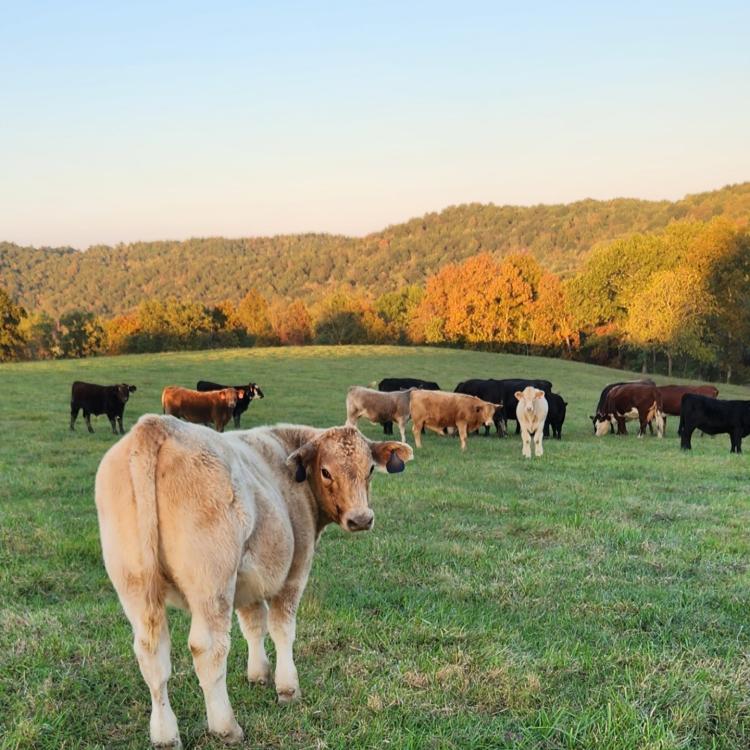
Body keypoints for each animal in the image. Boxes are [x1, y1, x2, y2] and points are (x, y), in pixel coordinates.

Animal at [94, 414, 414, 748]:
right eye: (326, 471)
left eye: (370, 469)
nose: (361, 518)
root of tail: (155, 425)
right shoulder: (294, 572)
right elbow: (282, 629)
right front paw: (287, 688)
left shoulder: (248, 585)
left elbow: (253, 625)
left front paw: (258, 674)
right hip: (212, 584)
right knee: (208, 649)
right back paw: (225, 727)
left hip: (136, 586)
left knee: (151, 653)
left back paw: (165, 735)